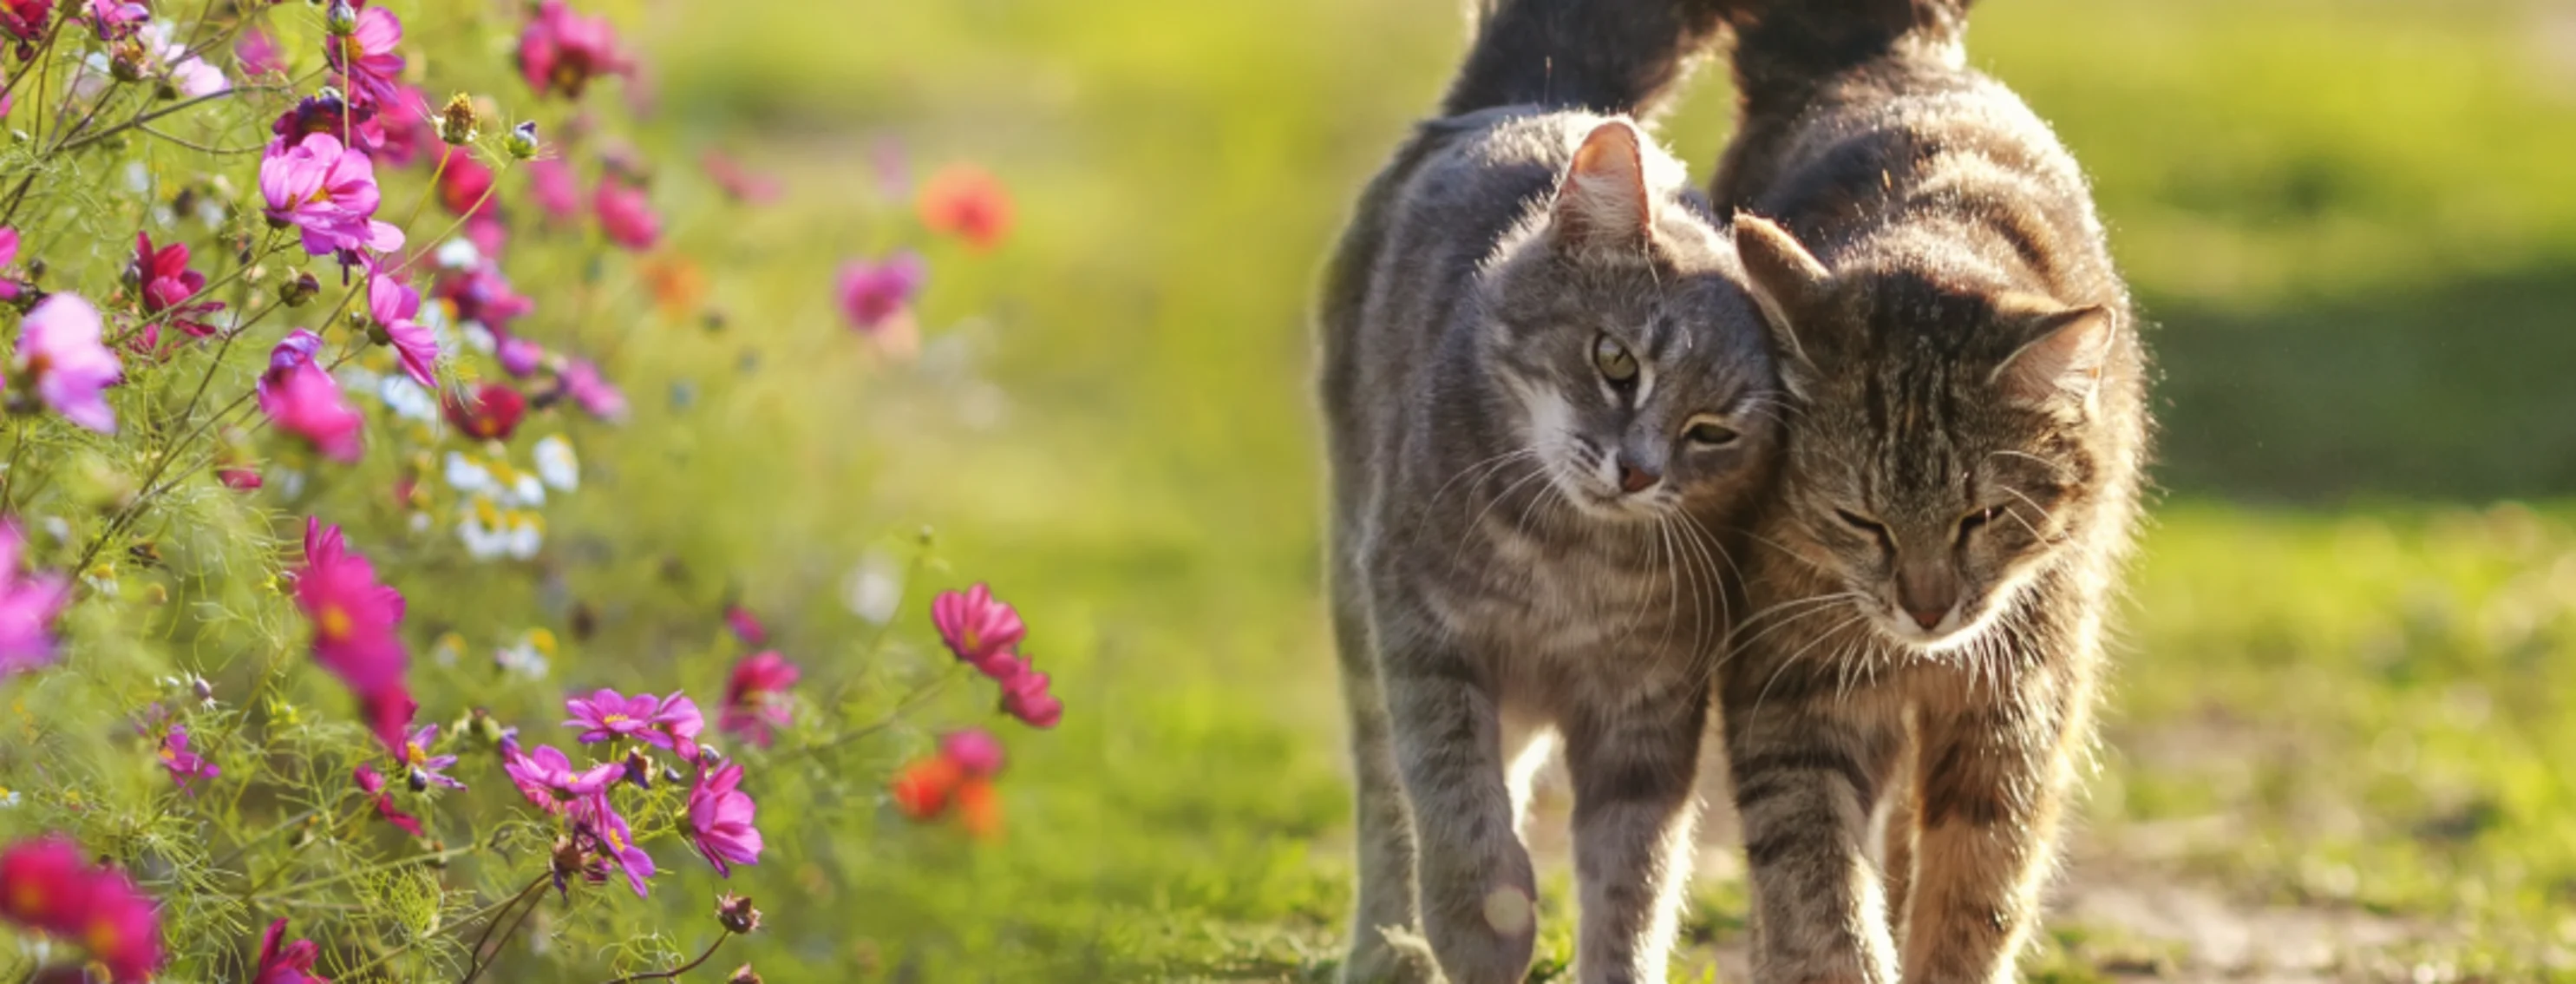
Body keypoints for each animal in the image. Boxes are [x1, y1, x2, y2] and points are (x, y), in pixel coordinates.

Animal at [1318, 2, 1782, 984]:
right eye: (1617, 362)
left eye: (1713, 431)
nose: (1637, 471)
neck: (1572, 565)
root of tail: (1547, 93)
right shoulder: (1421, 631)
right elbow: (1452, 797)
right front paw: (1481, 923)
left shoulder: (1651, 702)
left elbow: (1633, 876)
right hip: (1355, 592)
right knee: (1385, 797)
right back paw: (1386, 947)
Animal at [1700, 2, 2143, 984]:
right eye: (1857, 520)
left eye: (1985, 516)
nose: (1927, 608)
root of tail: (1877, 50)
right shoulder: (1786, 684)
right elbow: (1814, 878)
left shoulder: (2018, 698)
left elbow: (1978, 884)